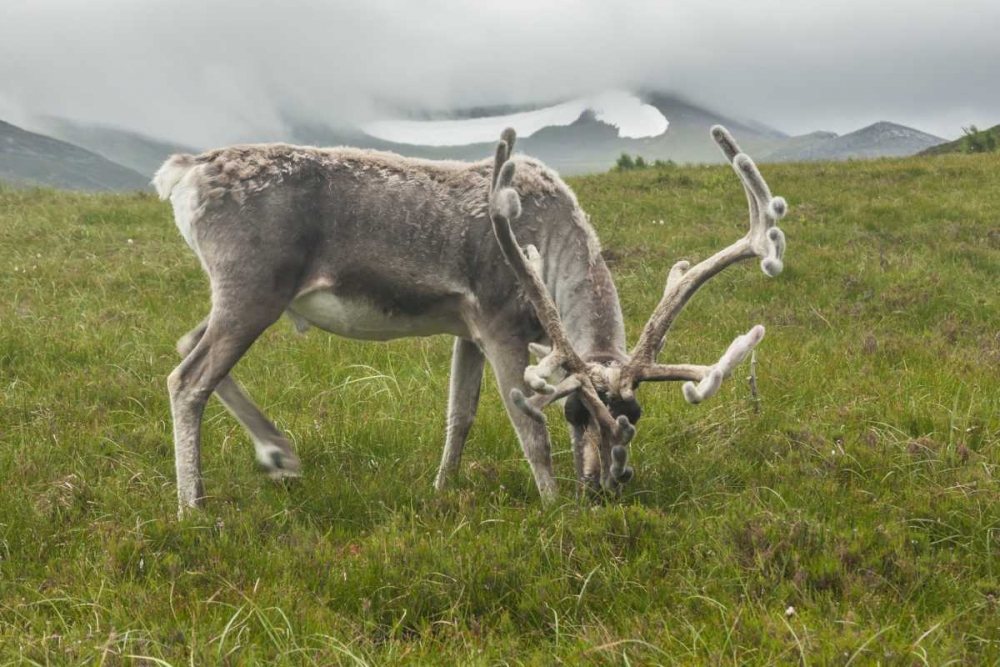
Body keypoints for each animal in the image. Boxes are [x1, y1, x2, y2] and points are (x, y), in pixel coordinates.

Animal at [153, 125, 788, 515]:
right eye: (577, 413)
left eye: (633, 416)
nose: (601, 489)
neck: (548, 246)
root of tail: (181, 174)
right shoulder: (500, 321)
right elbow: (527, 426)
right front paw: (553, 505)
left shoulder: (468, 332)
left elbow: (458, 416)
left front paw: (440, 489)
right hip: (252, 287)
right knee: (187, 379)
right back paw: (193, 508)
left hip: (247, 296)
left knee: (187, 345)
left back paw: (277, 452)